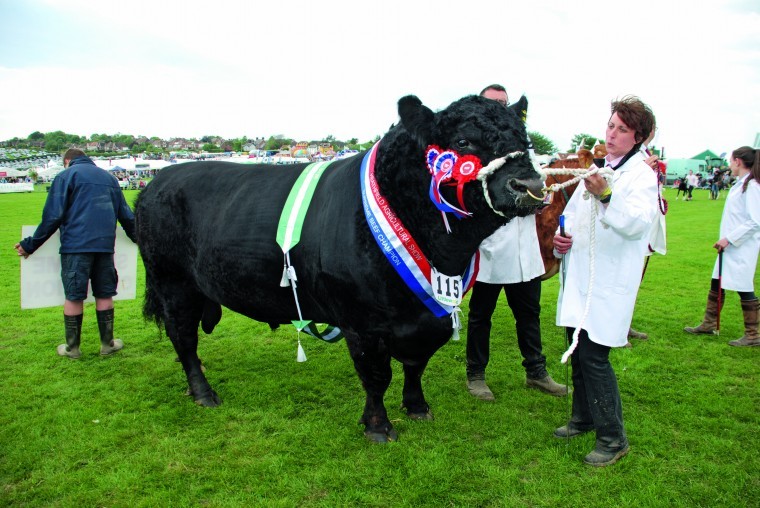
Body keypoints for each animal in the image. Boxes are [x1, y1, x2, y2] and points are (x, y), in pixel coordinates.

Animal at [134, 94, 544, 440]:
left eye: (525, 141)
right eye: (463, 142)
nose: (529, 184)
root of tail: (157, 181)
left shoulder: (428, 314)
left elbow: (416, 363)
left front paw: (417, 408)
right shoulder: (361, 321)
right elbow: (376, 374)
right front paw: (378, 427)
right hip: (172, 284)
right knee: (184, 339)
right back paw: (203, 393)